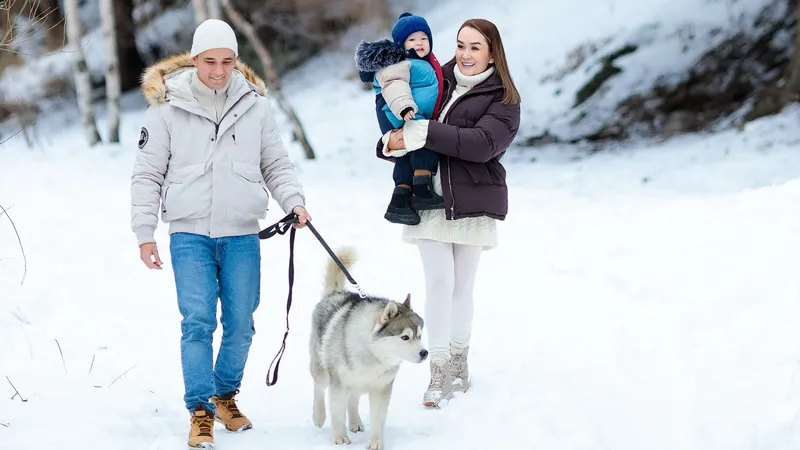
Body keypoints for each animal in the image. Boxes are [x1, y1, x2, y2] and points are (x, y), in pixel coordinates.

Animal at [310, 248, 428, 448]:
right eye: (405, 337)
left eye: (419, 335)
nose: (424, 353)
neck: (372, 353)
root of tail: (335, 293)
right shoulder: (339, 383)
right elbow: (337, 413)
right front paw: (340, 438)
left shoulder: (382, 388)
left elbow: (378, 418)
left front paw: (376, 442)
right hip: (322, 368)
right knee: (319, 387)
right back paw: (318, 416)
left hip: (357, 382)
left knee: (353, 399)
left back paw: (355, 422)